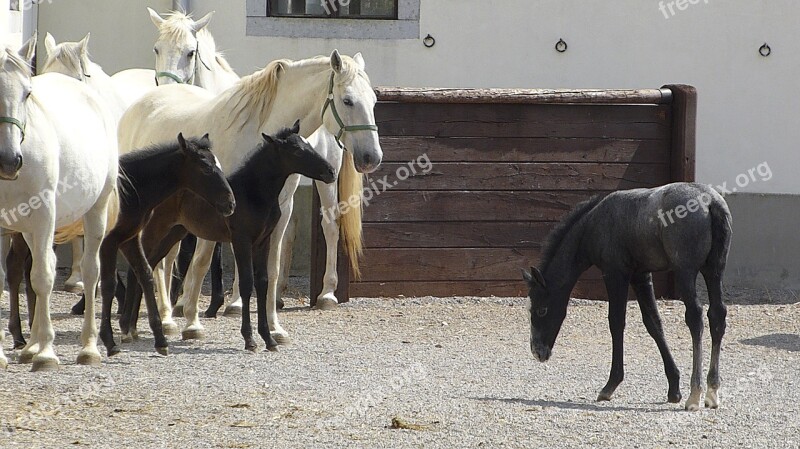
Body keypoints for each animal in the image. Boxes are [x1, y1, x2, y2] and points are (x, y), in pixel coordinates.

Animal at [0, 36, 119, 370]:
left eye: (27, 93)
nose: (9, 161)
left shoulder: (44, 215)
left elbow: (42, 278)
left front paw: (46, 354)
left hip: (94, 212)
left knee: (89, 272)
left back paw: (87, 347)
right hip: (29, 230)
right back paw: (31, 345)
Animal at [117, 50, 382, 344]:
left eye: (374, 101)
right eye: (347, 100)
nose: (372, 158)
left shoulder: (280, 212)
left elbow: (270, 270)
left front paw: (274, 328)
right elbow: (201, 263)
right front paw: (193, 323)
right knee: (162, 260)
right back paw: (164, 319)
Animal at [520, 182, 736, 410]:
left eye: (541, 310)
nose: (537, 351)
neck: (593, 224)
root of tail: (711, 202)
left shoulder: (615, 273)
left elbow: (616, 322)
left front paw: (610, 385)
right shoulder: (641, 276)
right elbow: (653, 323)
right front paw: (673, 387)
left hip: (685, 271)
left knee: (695, 317)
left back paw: (695, 393)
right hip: (714, 270)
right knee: (717, 316)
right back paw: (712, 392)